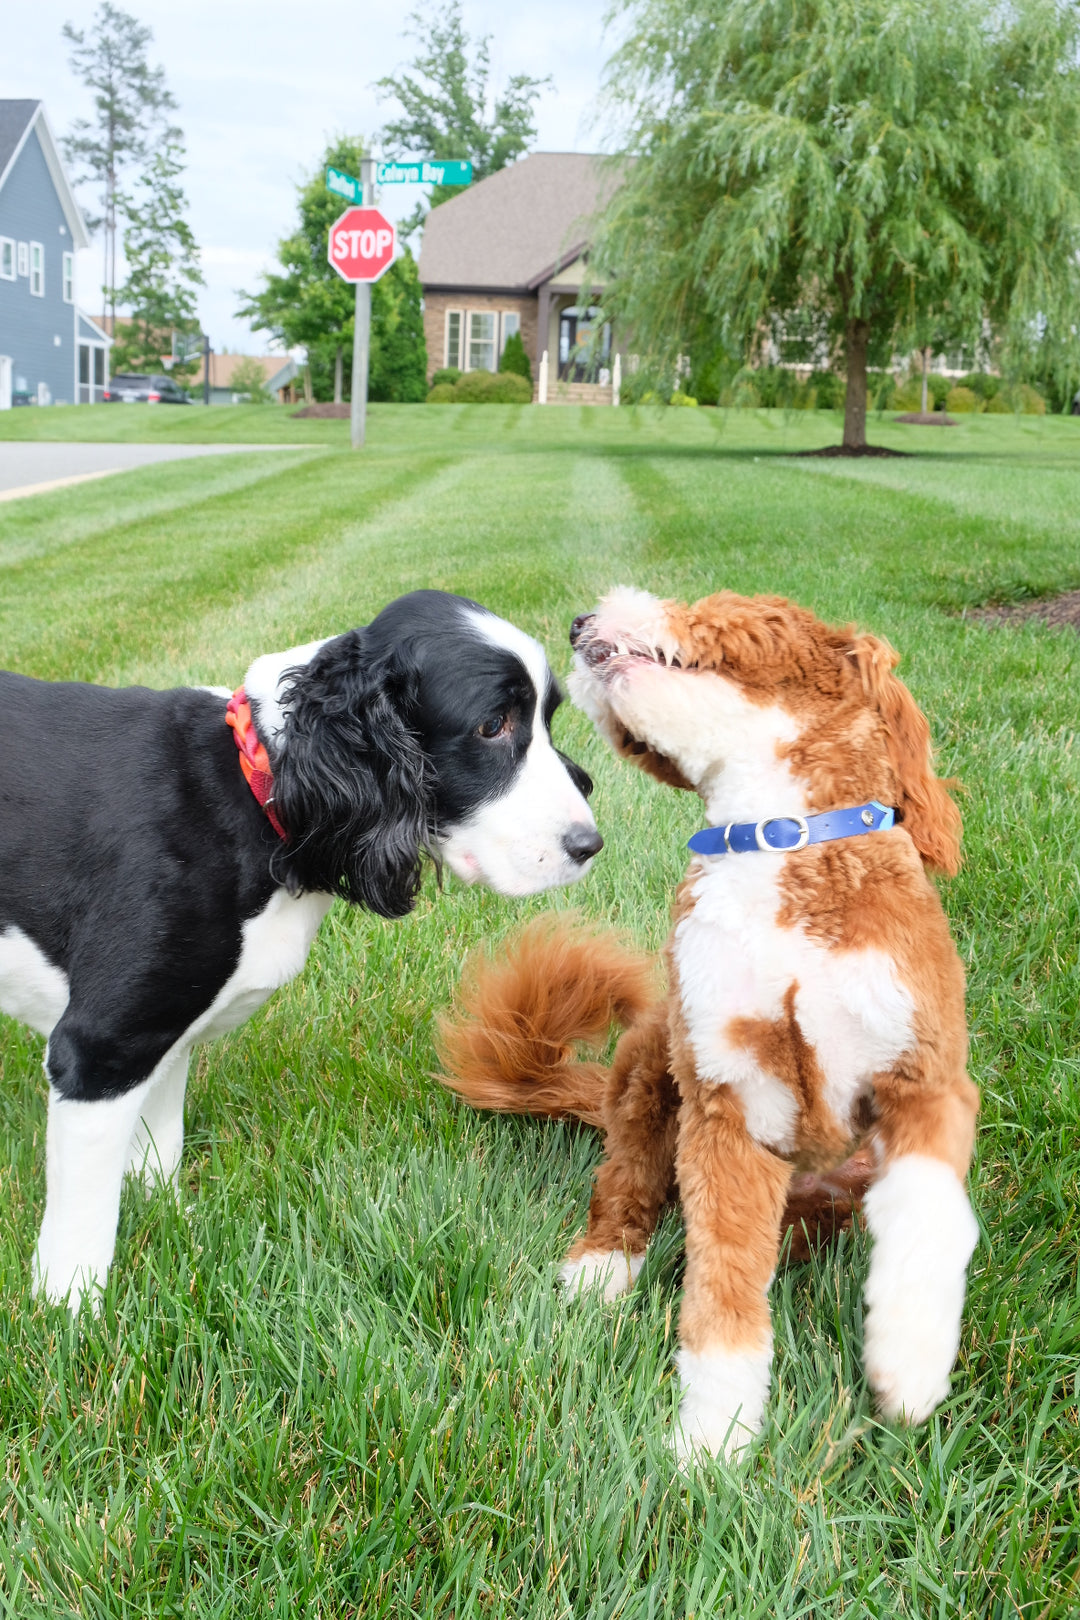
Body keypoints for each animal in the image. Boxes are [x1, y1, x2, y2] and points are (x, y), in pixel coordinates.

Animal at [0, 589, 599, 1308]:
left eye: (545, 719)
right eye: (492, 726)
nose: (589, 845)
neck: (260, 787)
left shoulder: (166, 1034)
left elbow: (158, 1149)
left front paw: (174, 1224)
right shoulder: (100, 1047)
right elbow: (83, 1228)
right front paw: (72, 1314)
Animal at [440, 589, 977, 1464]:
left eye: (720, 605)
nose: (581, 622)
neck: (778, 846)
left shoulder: (926, 1079)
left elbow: (930, 1218)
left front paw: (909, 1365)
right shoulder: (729, 1102)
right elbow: (721, 1287)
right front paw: (713, 1436)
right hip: (647, 1059)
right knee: (626, 1184)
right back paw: (603, 1268)